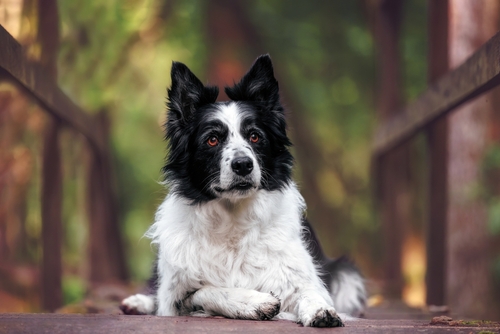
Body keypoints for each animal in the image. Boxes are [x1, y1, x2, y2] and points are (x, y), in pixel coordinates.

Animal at [119, 54, 366, 326]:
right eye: (212, 140)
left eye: (255, 136)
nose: (243, 165)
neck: (233, 220)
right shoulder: (174, 298)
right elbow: (208, 290)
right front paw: (254, 302)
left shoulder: (299, 276)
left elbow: (309, 293)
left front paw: (320, 310)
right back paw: (137, 303)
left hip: (347, 274)